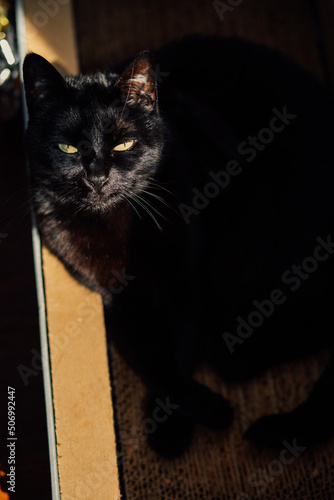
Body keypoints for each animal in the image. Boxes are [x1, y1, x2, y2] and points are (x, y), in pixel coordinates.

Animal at [22, 35, 334, 458]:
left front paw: (174, 426)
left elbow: (179, 350)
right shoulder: (121, 301)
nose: (98, 177)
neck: (119, 222)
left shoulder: (185, 285)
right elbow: (153, 361)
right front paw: (195, 415)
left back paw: (239, 362)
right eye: (68, 149)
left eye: (124, 144)